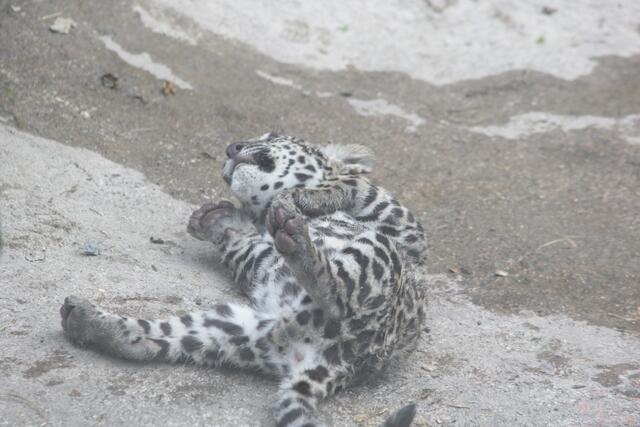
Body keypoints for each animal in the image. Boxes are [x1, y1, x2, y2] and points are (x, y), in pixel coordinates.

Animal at [60, 133, 428, 427]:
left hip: (377, 253)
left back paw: (299, 238)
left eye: (274, 135)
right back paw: (89, 321)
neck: (265, 213)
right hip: (233, 329)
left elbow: (355, 185)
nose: (231, 147)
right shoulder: (260, 259)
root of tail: (346, 363)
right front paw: (215, 219)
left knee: (335, 292)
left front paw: (305, 197)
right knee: (151, 342)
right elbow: (244, 247)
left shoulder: (405, 231)